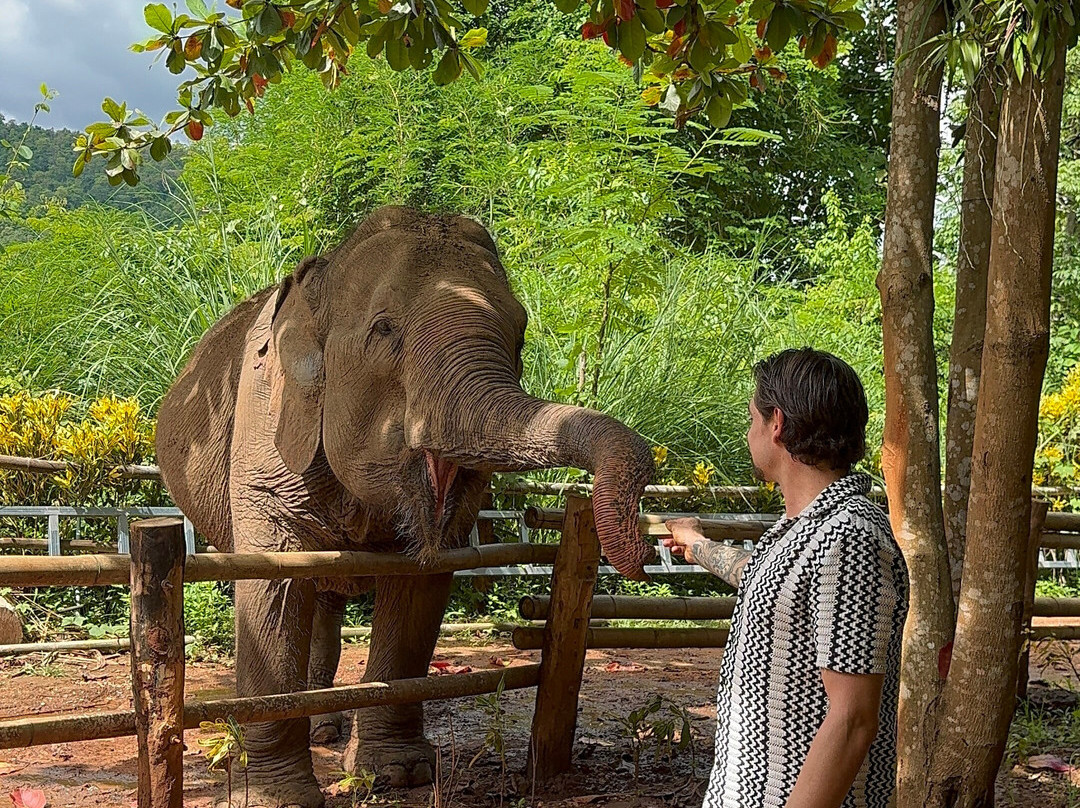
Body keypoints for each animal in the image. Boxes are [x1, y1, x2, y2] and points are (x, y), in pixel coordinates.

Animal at [155, 206, 657, 808]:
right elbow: (272, 581)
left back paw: (326, 727)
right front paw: (277, 797)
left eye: (520, 334)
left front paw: (399, 775)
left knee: (325, 598)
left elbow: (419, 589)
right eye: (383, 330)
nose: (643, 552)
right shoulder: (263, 433)